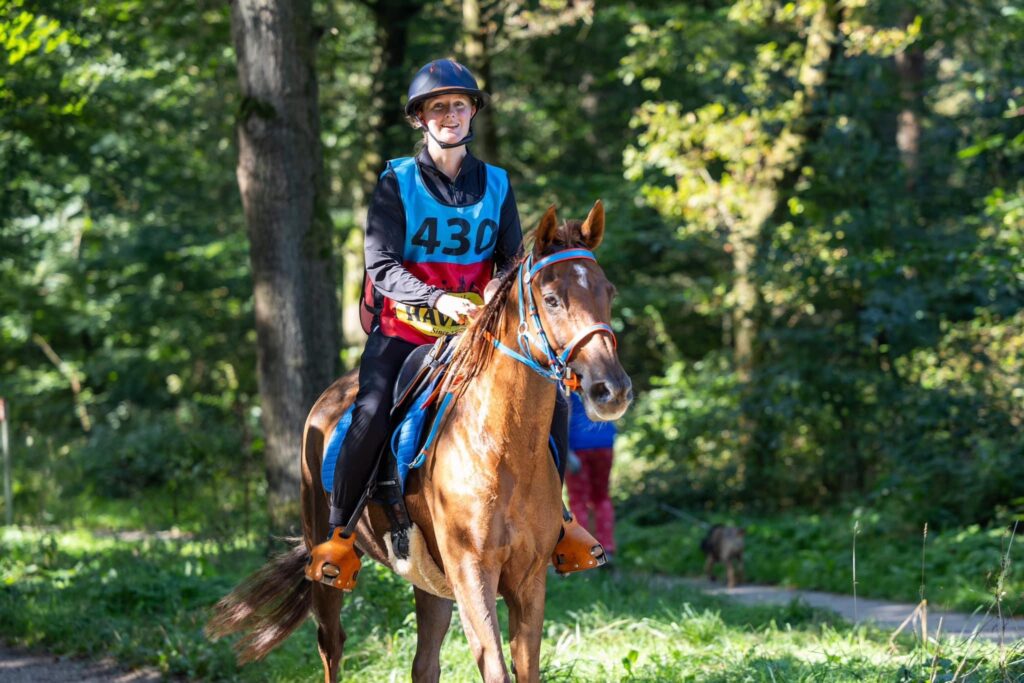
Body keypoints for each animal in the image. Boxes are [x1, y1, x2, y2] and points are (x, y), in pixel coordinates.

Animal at [207, 200, 632, 683]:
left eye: (609, 292)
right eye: (554, 298)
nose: (611, 389)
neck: (502, 449)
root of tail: (328, 397)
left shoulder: (527, 581)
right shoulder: (471, 572)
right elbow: (495, 668)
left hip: (431, 580)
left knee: (423, 663)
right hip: (328, 561)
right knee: (331, 644)